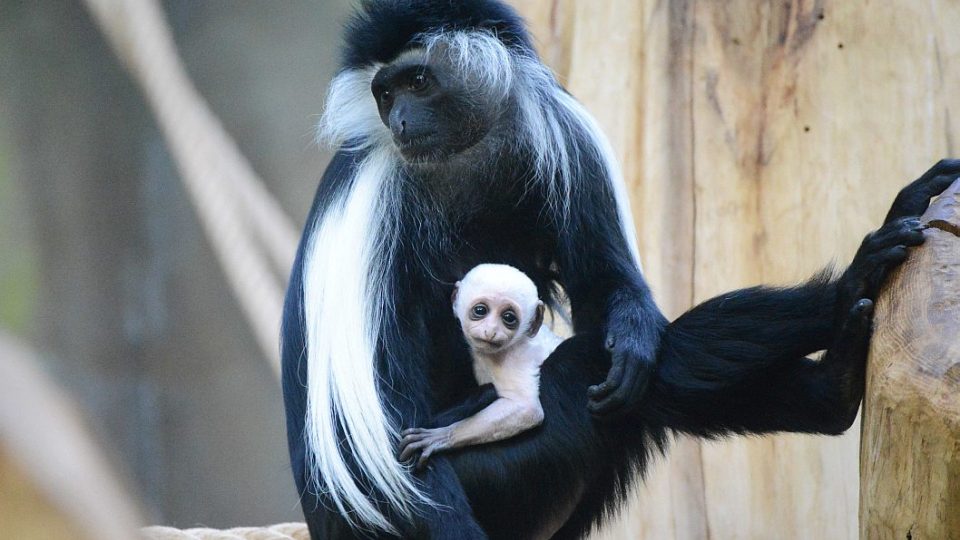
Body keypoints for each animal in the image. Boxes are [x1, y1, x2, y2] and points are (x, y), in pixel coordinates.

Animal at [398, 266, 564, 468]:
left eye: (508, 317)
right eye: (480, 310)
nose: (491, 331)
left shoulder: (514, 358)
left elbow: (527, 409)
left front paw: (442, 436)